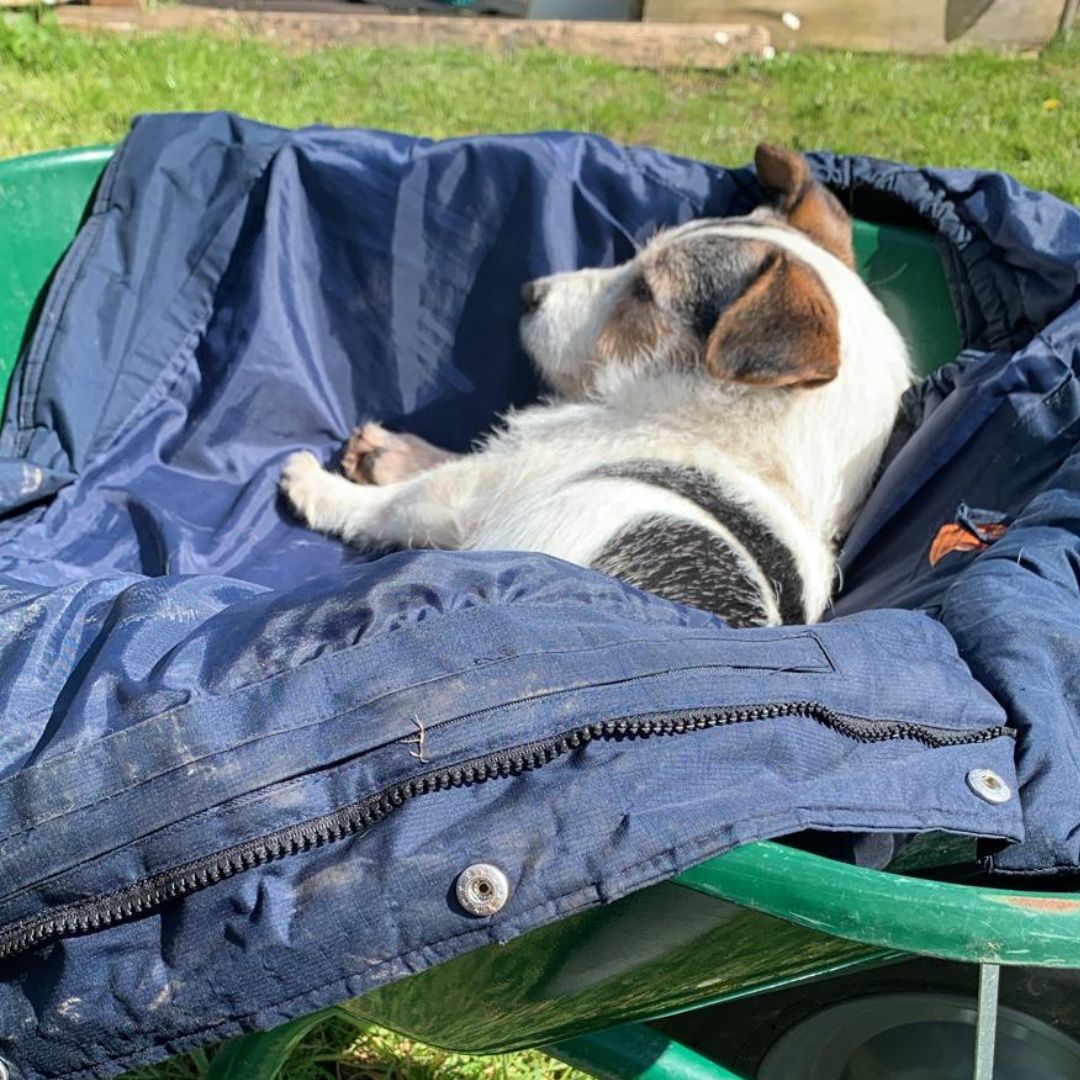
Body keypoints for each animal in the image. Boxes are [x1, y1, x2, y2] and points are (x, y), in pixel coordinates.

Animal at [280, 147, 911, 630]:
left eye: (645, 293)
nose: (528, 292)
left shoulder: (466, 497)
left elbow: (390, 505)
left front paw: (316, 485)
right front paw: (390, 451)